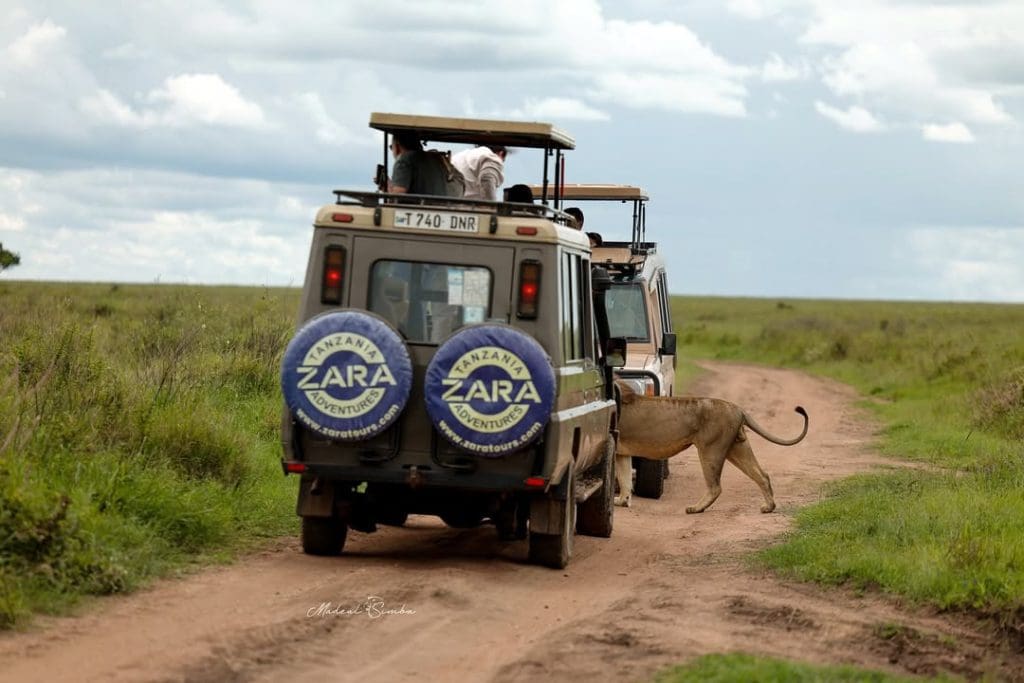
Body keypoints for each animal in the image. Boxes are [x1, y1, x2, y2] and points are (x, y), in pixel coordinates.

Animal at [613, 382, 808, 513]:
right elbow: (624, 478)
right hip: (737, 447)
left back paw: (696, 508)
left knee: (715, 486)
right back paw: (769, 507)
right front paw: (622, 501)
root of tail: (737, 408)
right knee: (762, 475)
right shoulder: (621, 453)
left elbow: (621, 477)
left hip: (710, 449)